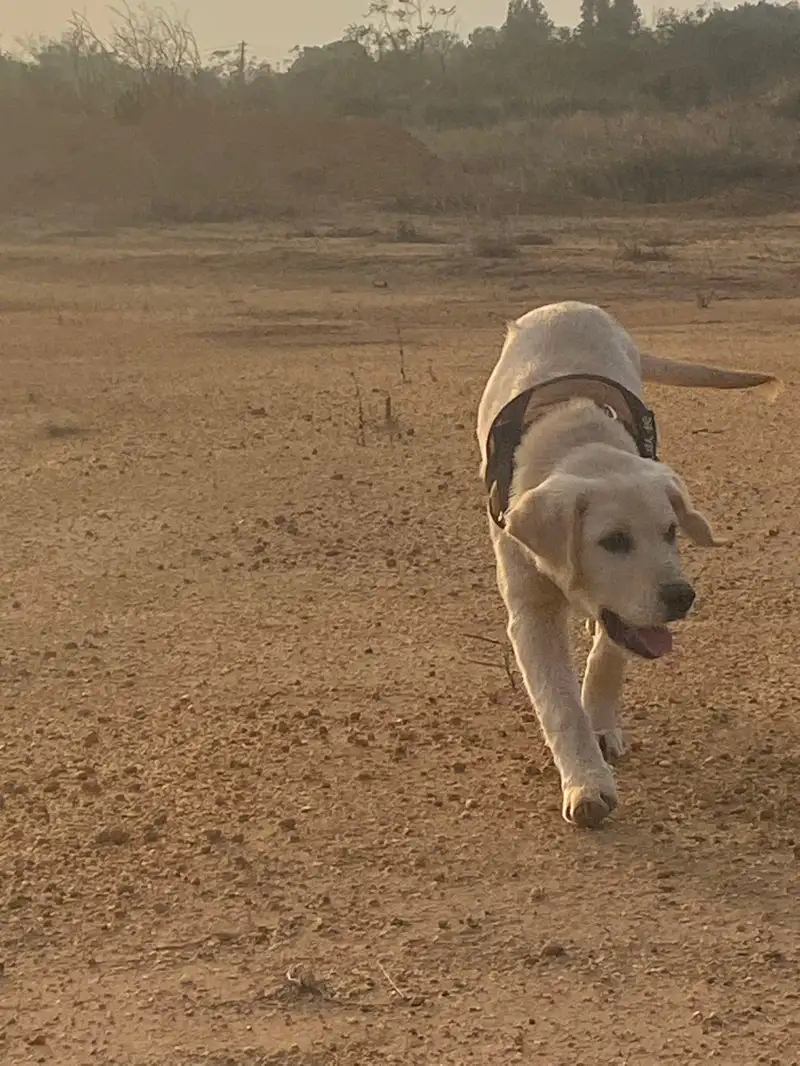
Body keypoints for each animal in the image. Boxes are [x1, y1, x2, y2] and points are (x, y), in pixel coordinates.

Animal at [480, 304, 780, 827]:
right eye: (613, 541)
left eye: (671, 532)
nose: (682, 598)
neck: (575, 436)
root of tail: (571, 305)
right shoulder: (530, 610)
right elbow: (560, 705)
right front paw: (587, 784)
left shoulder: (627, 613)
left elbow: (609, 653)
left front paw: (600, 725)